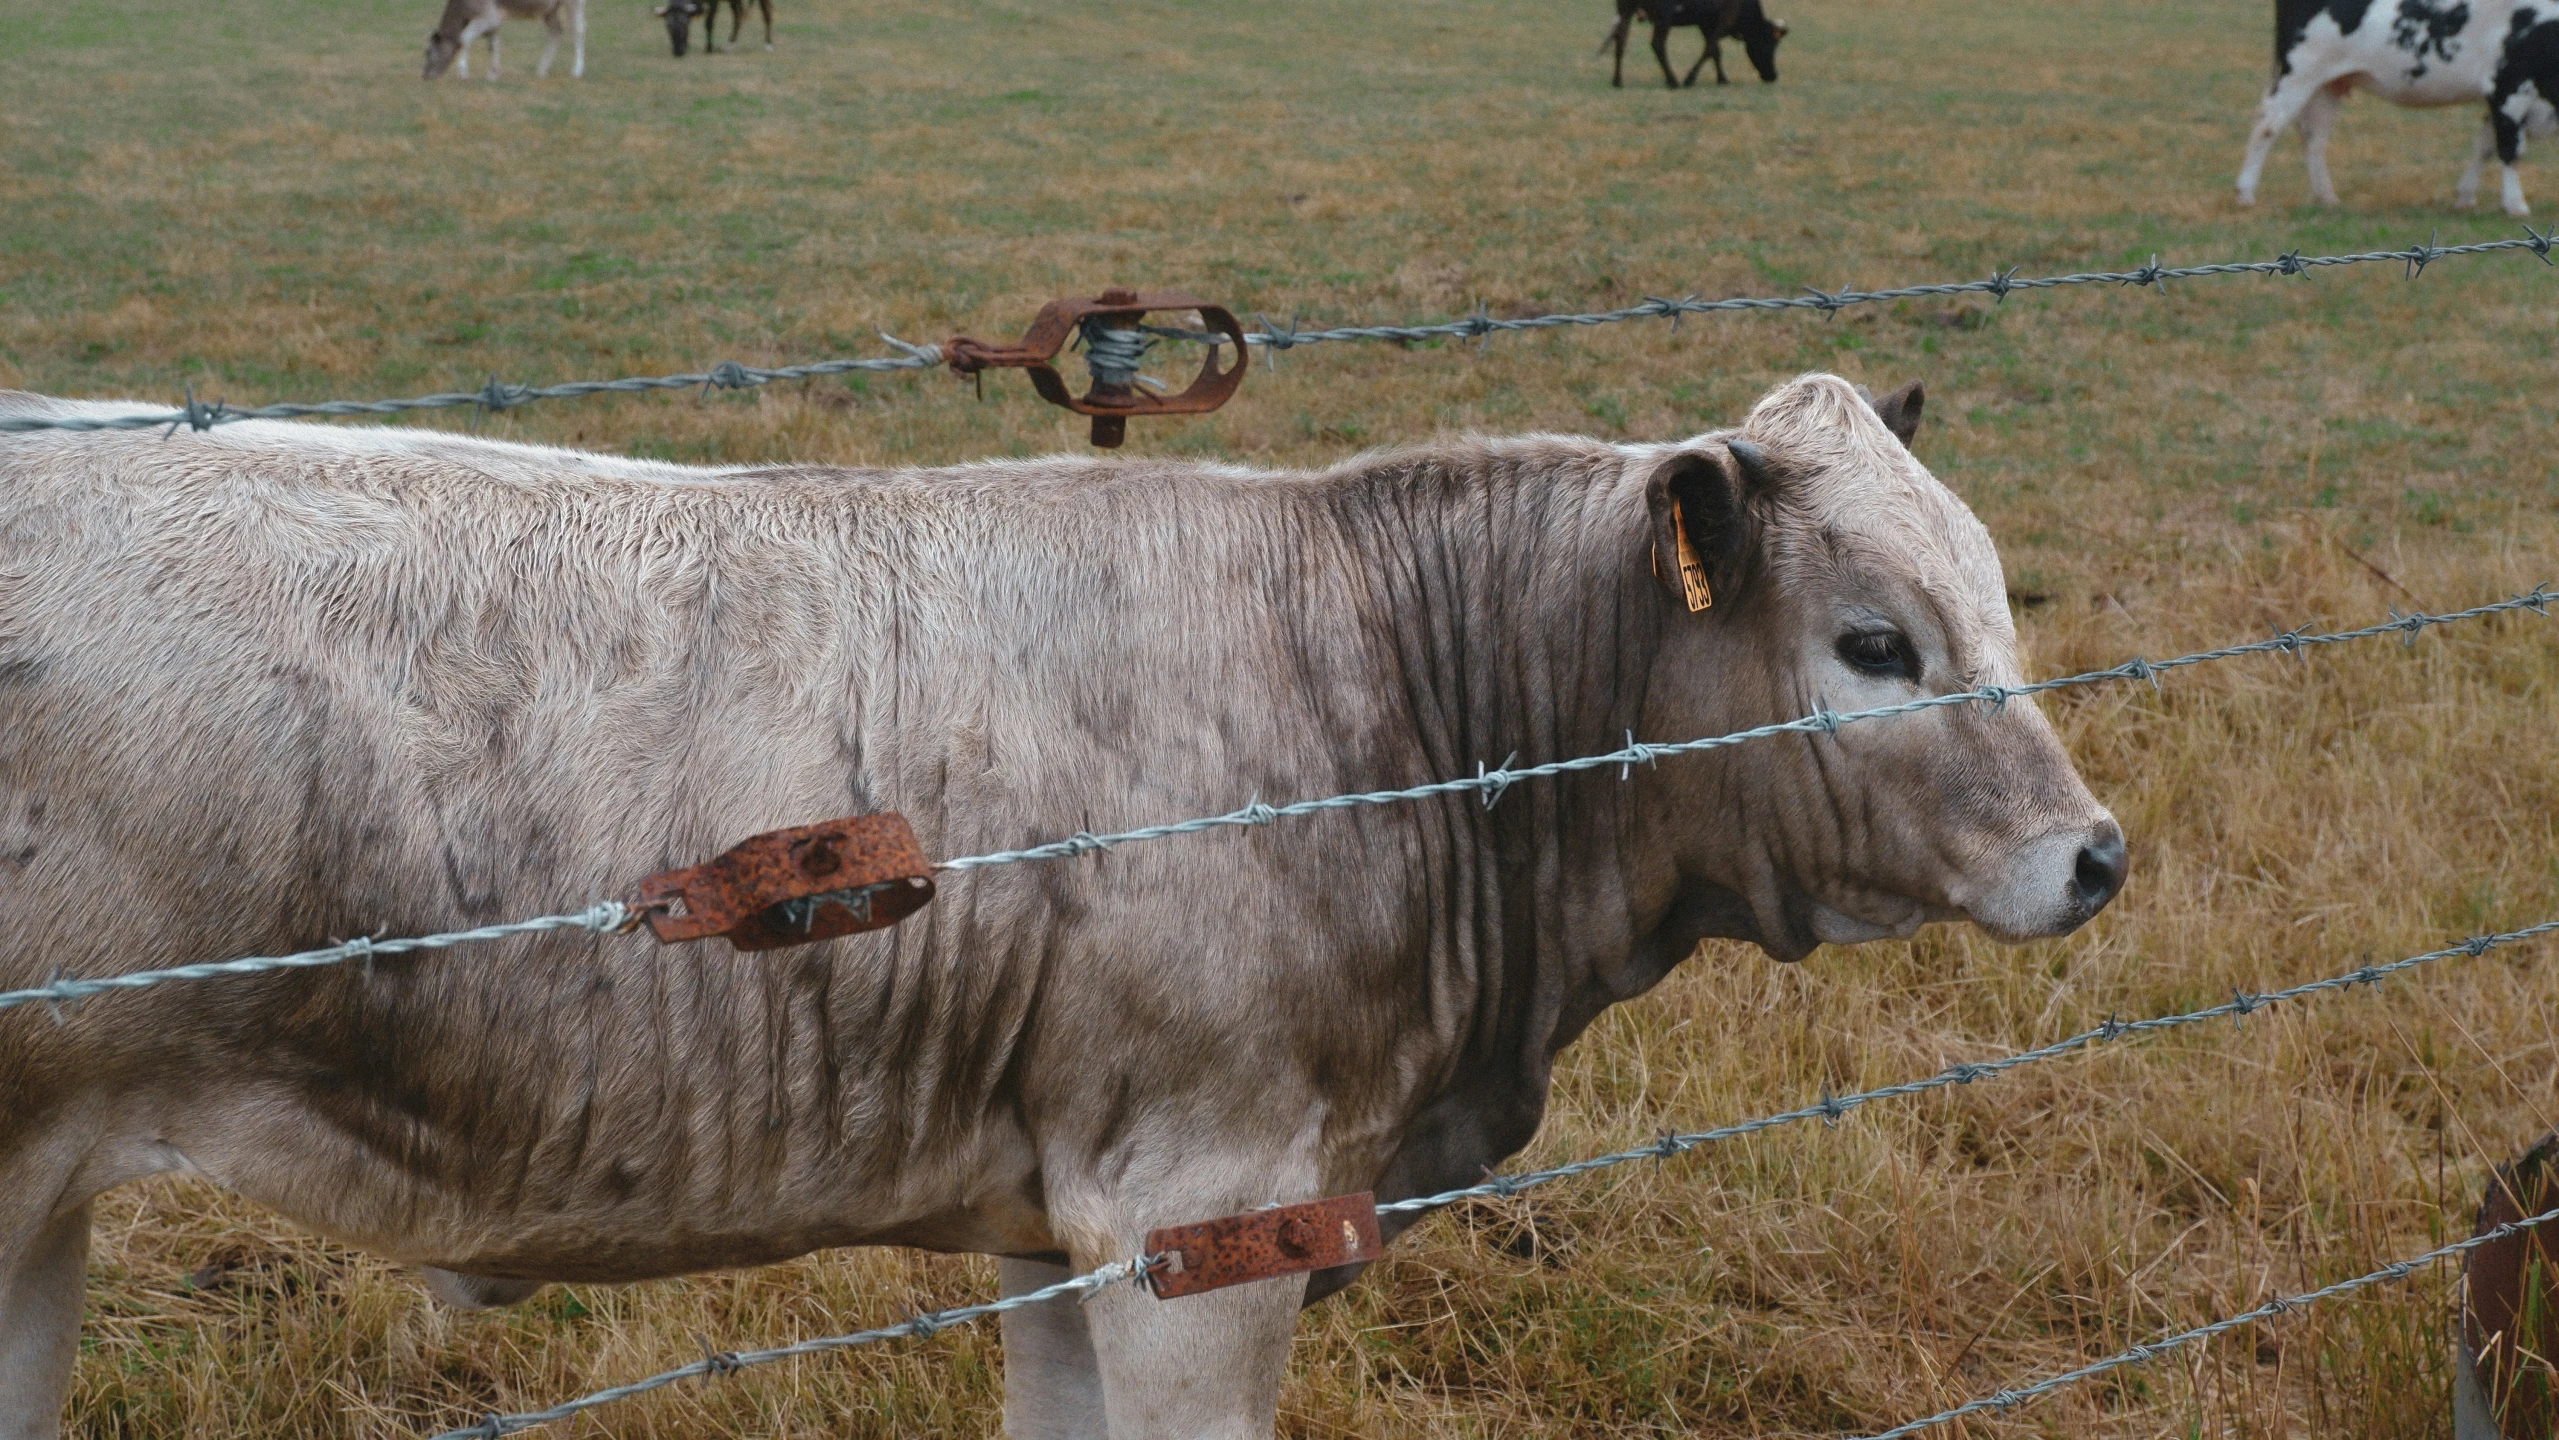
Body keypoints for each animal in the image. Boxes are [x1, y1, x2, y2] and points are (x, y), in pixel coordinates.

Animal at [429, 0, 588, 80]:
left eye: (427, 51)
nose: (425, 75)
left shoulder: (488, 17)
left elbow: (464, 38)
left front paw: (463, 72)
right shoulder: (493, 21)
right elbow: (493, 44)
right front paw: (493, 74)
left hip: (573, 3)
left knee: (578, 31)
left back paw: (577, 70)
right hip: (550, 9)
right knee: (555, 31)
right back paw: (541, 69)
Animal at [2241, 0, 2559, 213]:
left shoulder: (2498, 100)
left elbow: (2484, 147)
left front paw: (2465, 197)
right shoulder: (2509, 90)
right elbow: (2509, 150)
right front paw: (2516, 205)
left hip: (2329, 84)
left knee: (2314, 138)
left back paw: (2327, 197)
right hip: (2298, 73)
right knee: (2266, 126)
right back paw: (2245, 193)